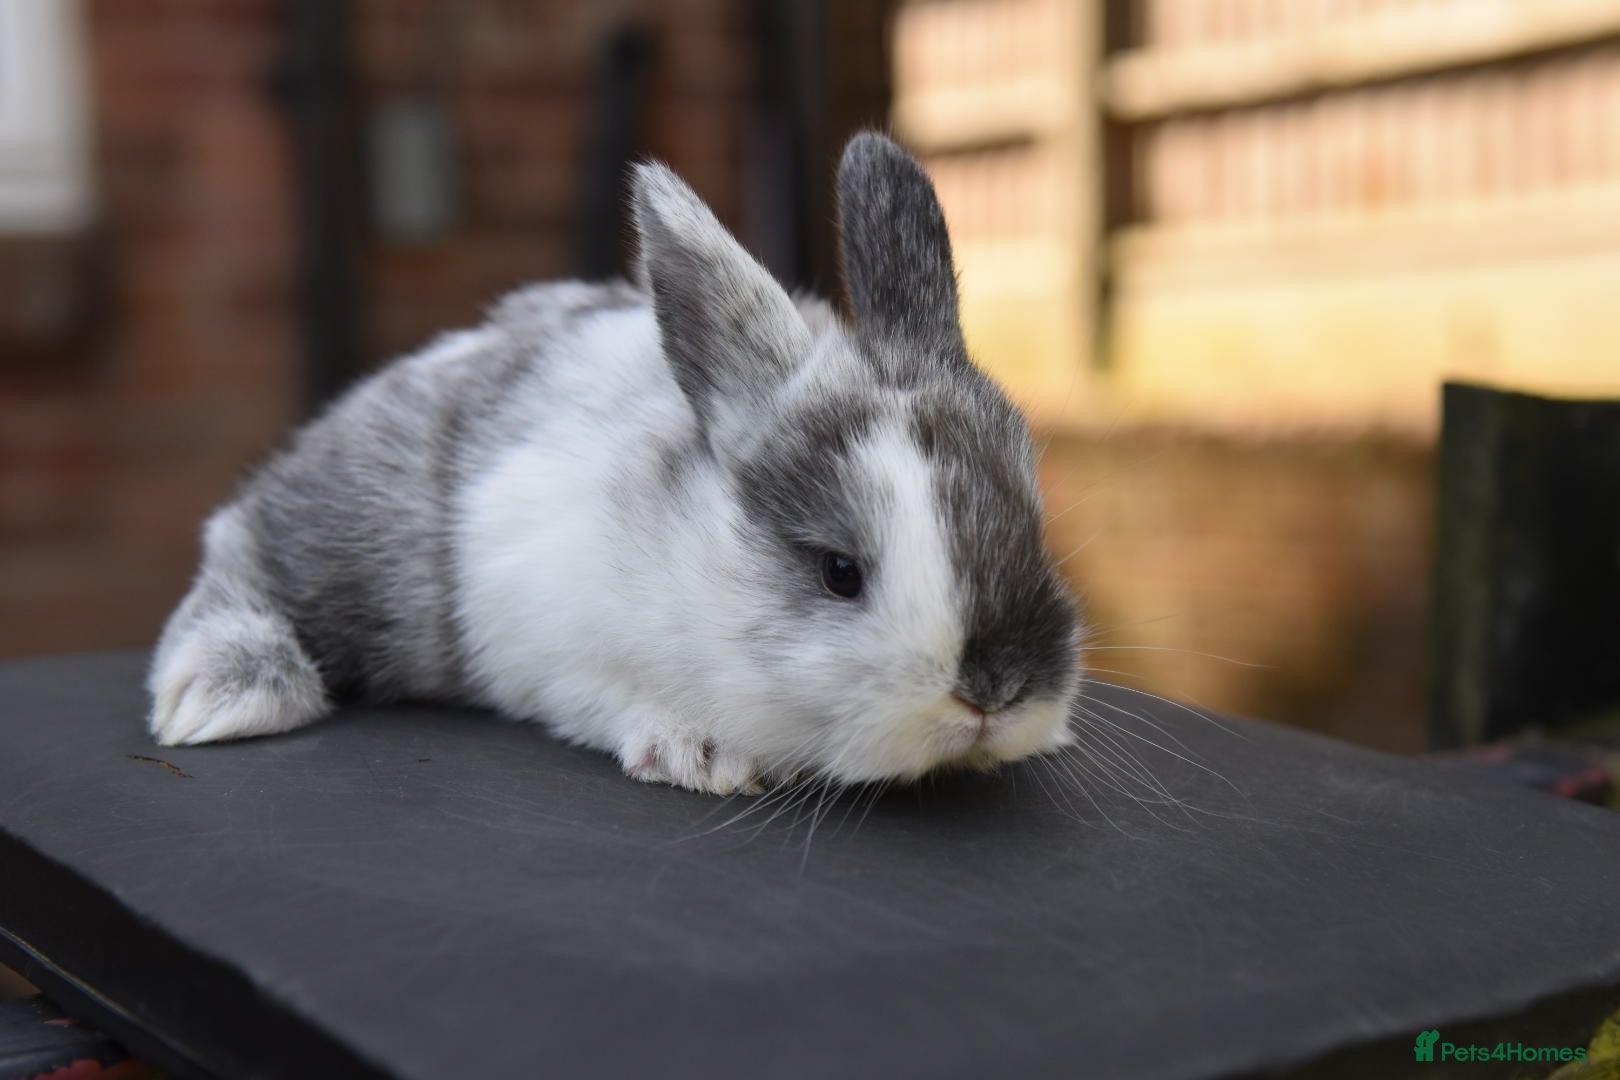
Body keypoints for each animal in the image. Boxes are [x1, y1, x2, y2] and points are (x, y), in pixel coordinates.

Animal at [147, 132, 1084, 795]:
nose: (996, 691)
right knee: (240, 546)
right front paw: (697, 752)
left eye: (1035, 534)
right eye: (840, 572)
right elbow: (603, 696)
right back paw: (221, 694)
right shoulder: (545, 631)